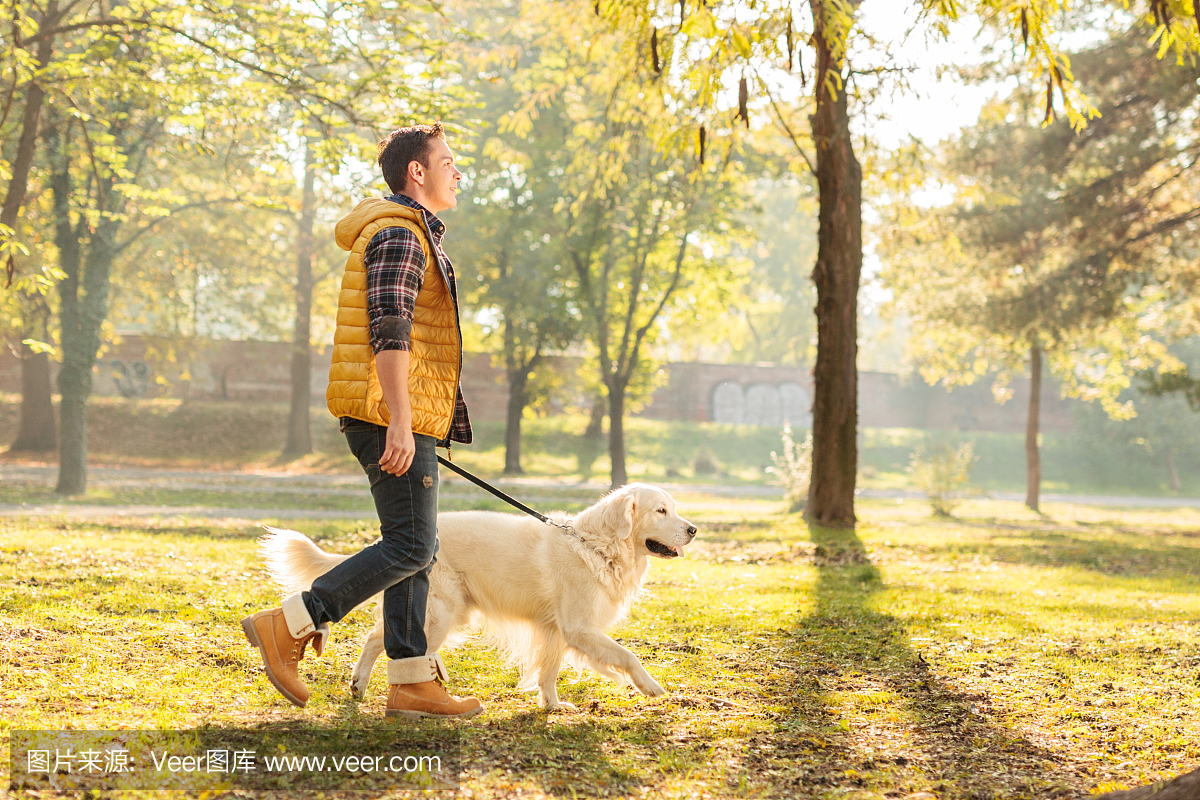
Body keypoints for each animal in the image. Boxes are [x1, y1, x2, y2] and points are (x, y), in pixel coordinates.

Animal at [258, 482, 700, 714]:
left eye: (673, 508)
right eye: (661, 511)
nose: (694, 529)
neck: (596, 545)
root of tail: (398, 540)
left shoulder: (556, 631)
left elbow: (549, 672)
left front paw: (552, 706)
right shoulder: (579, 627)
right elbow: (628, 655)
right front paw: (650, 686)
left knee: (375, 638)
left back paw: (359, 685)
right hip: (442, 613)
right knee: (390, 645)